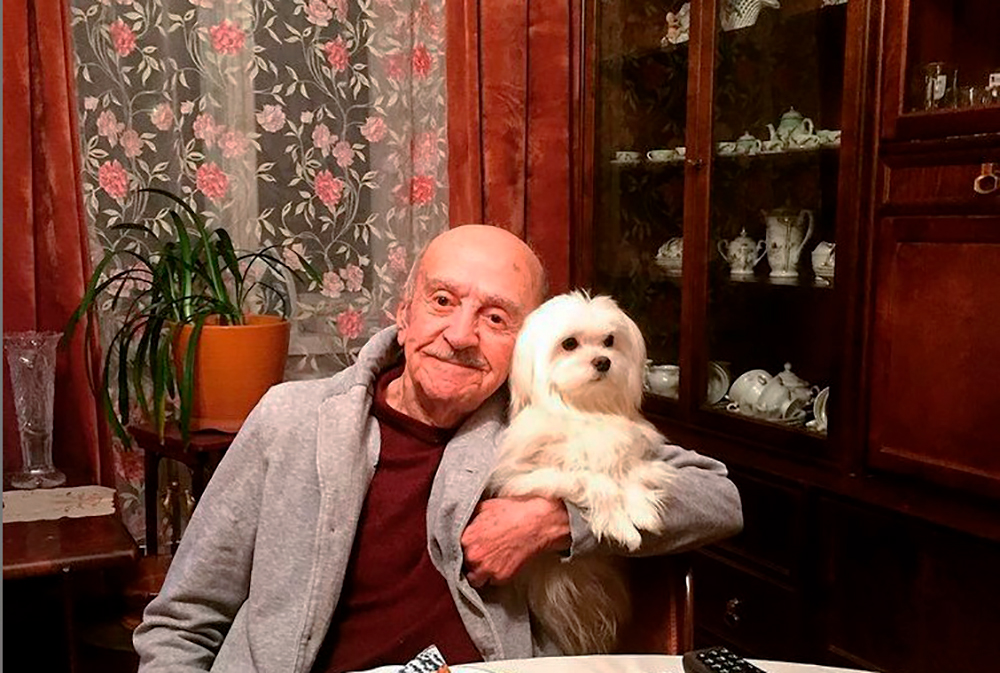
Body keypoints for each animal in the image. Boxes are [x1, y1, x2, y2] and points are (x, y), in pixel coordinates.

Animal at [487, 291, 676, 654]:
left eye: (609, 341)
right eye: (569, 344)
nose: (603, 361)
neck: (584, 410)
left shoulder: (631, 449)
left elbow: (628, 472)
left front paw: (641, 512)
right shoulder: (530, 477)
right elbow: (595, 480)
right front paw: (622, 525)